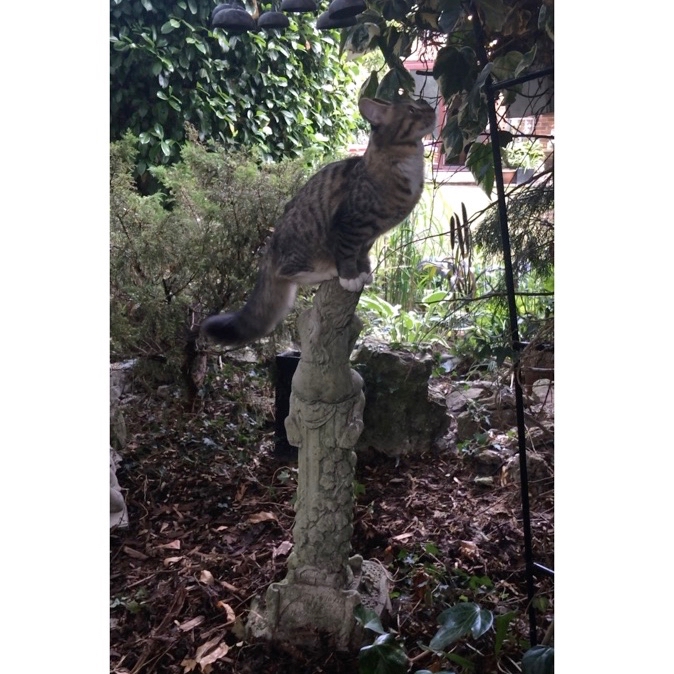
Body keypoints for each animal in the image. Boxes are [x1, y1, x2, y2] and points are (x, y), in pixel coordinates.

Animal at [201, 96, 436, 347]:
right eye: (412, 109)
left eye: (422, 104)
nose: (432, 110)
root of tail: (270, 248)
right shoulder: (350, 224)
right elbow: (347, 254)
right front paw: (350, 277)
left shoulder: (369, 236)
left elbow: (361, 255)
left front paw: (363, 272)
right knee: (289, 272)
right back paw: (327, 272)